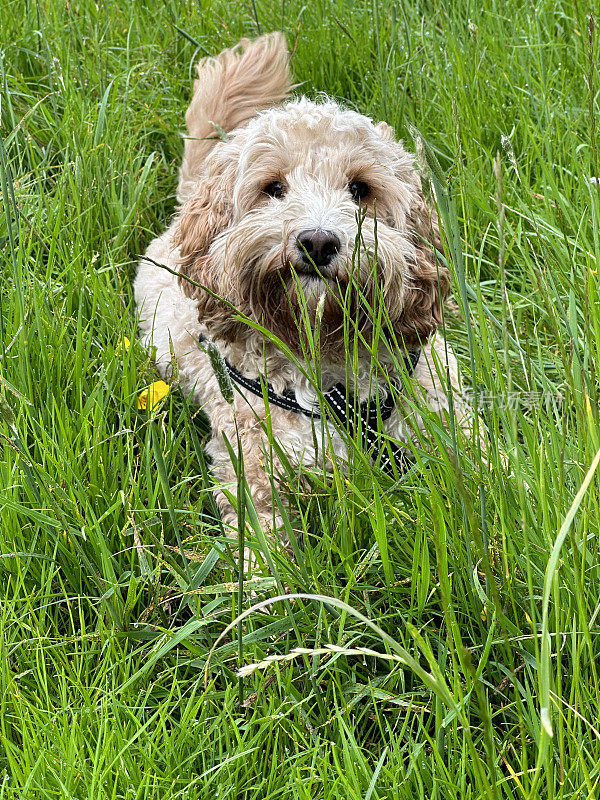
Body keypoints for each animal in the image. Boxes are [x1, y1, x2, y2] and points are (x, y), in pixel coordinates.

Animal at [136, 32, 464, 556]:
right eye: (274, 188)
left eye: (360, 189)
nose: (318, 241)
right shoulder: (255, 469)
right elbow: (265, 542)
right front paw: (268, 578)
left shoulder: (442, 417)